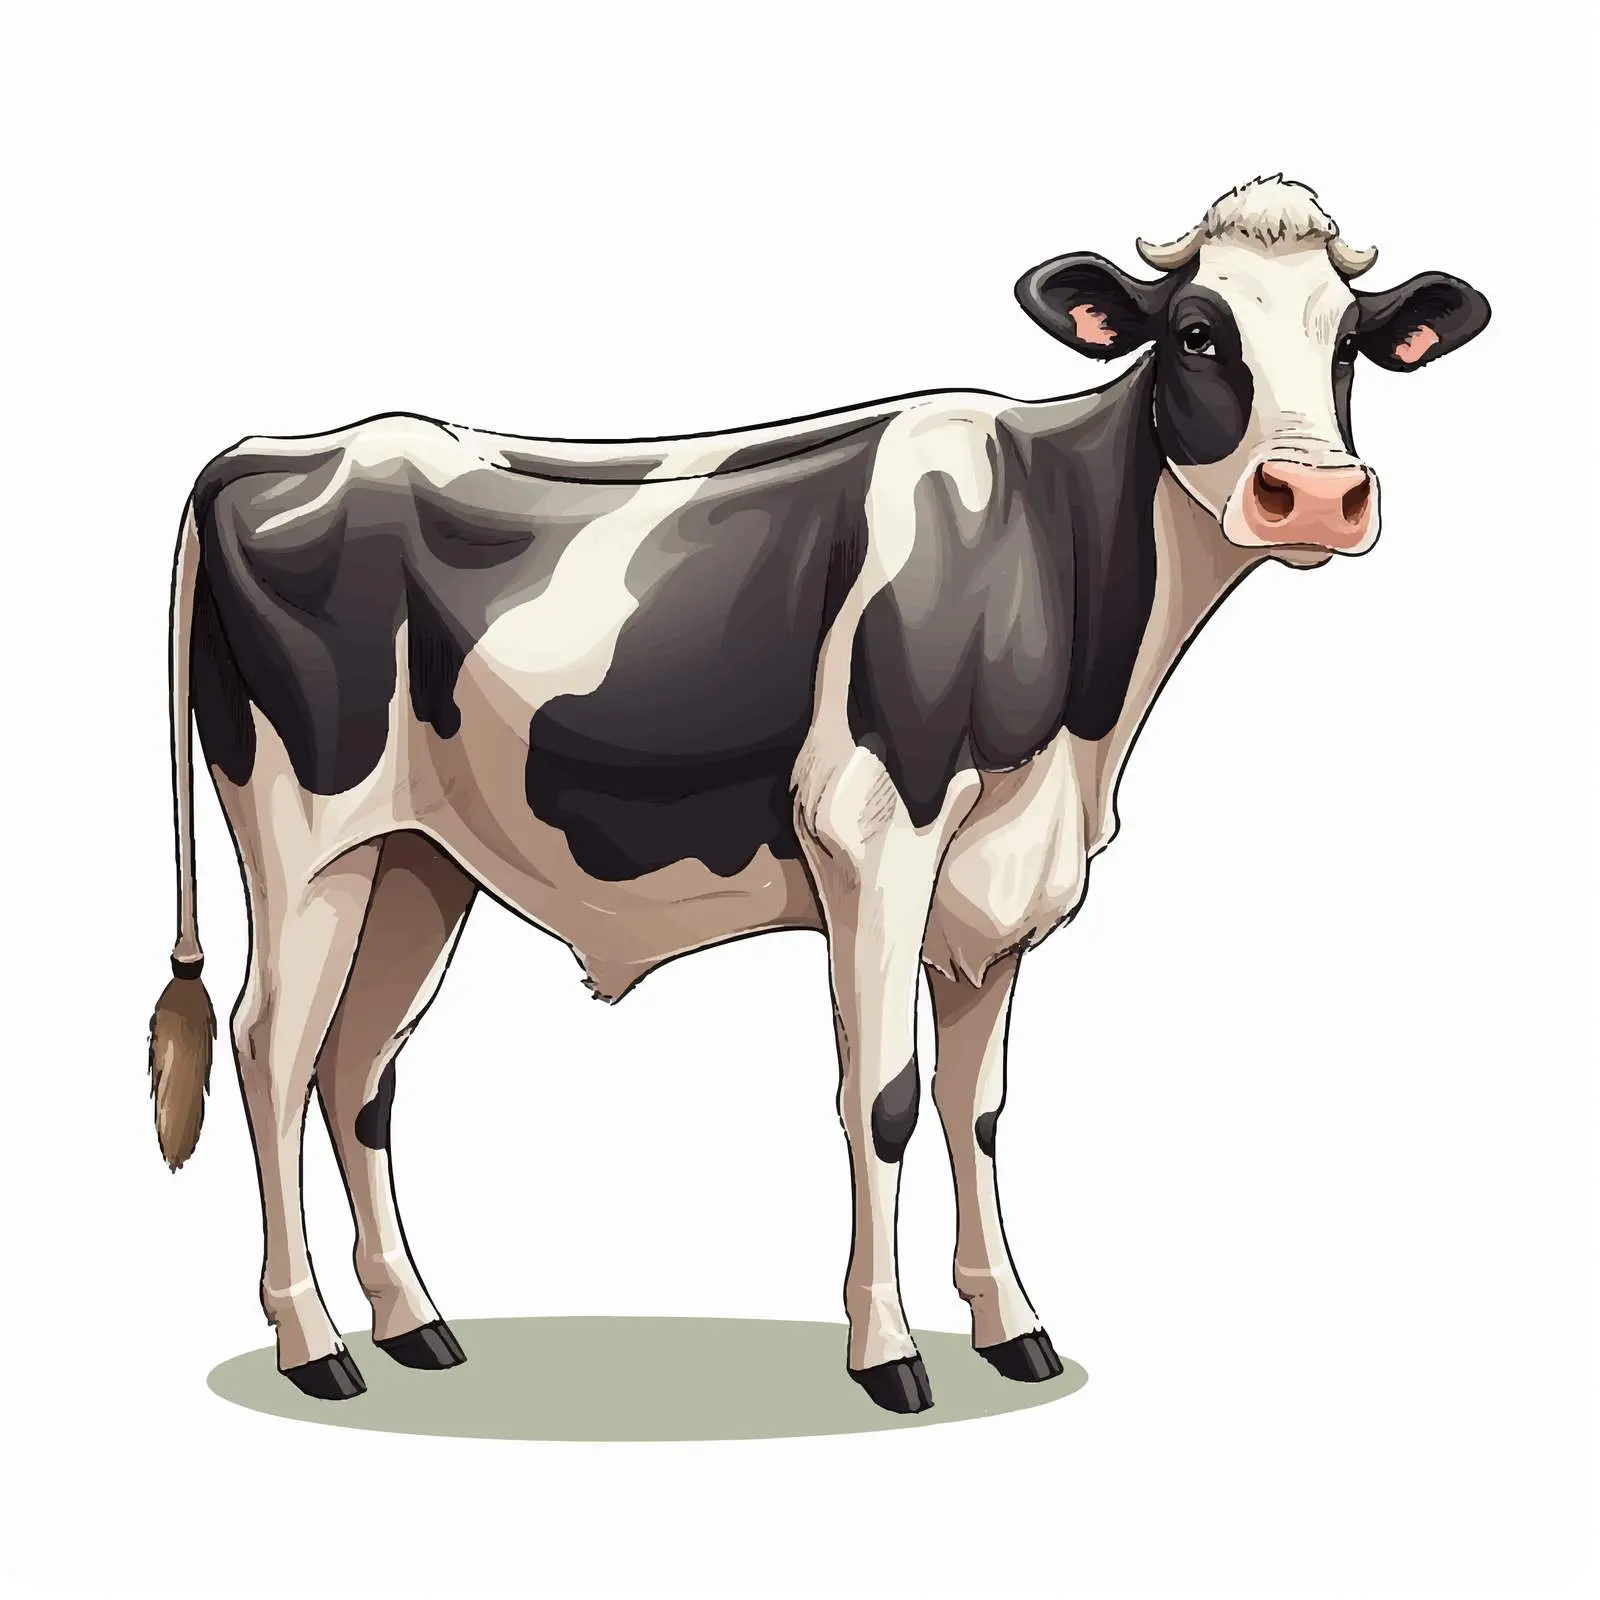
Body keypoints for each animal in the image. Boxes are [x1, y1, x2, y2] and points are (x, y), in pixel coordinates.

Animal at [147, 176, 1489, 1414]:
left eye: (1348, 343)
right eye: (1200, 332)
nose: (1313, 497)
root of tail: (265, 453)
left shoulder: (995, 882)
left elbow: (975, 1105)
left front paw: (1012, 1326)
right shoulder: (872, 833)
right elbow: (884, 1098)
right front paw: (886, 1350)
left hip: (417, 860)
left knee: (358, 1063)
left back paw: (414, 1321)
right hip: (301, 833)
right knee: (270, 1049)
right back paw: (313, 1342)